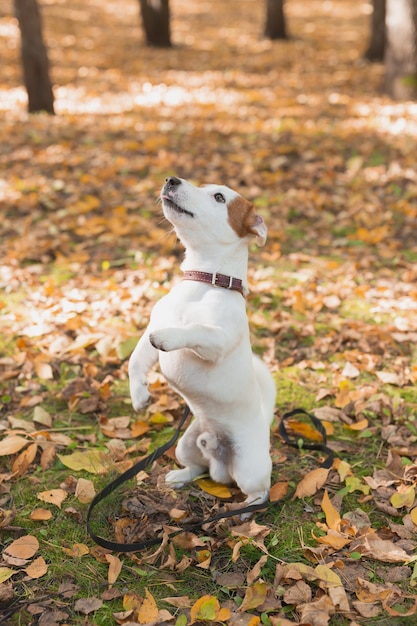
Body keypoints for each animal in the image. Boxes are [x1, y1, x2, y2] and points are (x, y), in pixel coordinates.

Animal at [128, 176, 274, 508]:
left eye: (219, 197)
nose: (171, 179)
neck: (203, 282)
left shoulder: (217, 340)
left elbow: (194, 329)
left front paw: (169, 337)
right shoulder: (150, 327)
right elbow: (135, 360)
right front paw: (139, 394)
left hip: (250, 468)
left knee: (260, 492)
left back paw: (243, 510)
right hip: (186, 444)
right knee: (199, 468)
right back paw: (180, 477)